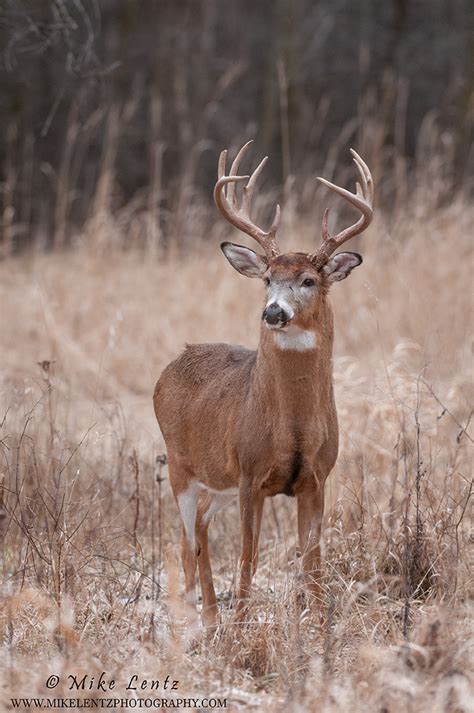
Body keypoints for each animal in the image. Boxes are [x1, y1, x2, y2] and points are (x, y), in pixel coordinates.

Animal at [154, 140, 372, 624]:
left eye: (308, 280)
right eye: (268, 278)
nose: (273, 311)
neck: (292, 426)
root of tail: (174, 360)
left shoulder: (316, 477)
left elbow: (313, 564)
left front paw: (319, 627)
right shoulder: (251, 473)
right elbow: (248, 559)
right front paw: (240, 628)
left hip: (219, 480)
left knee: (200, 528)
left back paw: (210, 618)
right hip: (180, 466)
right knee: (186, 542)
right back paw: (193, 619)